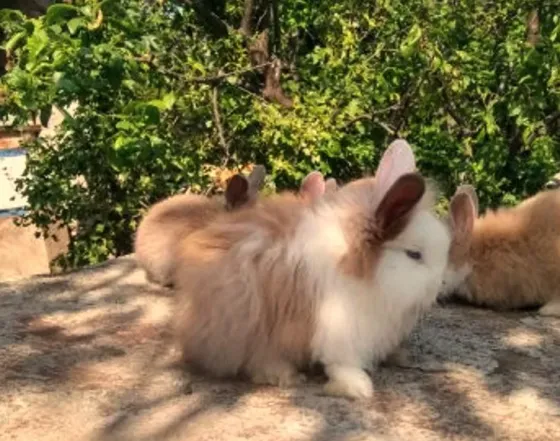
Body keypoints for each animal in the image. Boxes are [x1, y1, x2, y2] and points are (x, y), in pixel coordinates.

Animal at [171, 140, 450, 398]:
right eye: (414, 254)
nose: (438, 288)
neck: (364, 269)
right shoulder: (340, 326)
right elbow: (341, 363)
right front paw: (358, 387)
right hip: (244, 315)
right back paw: (283, 374)